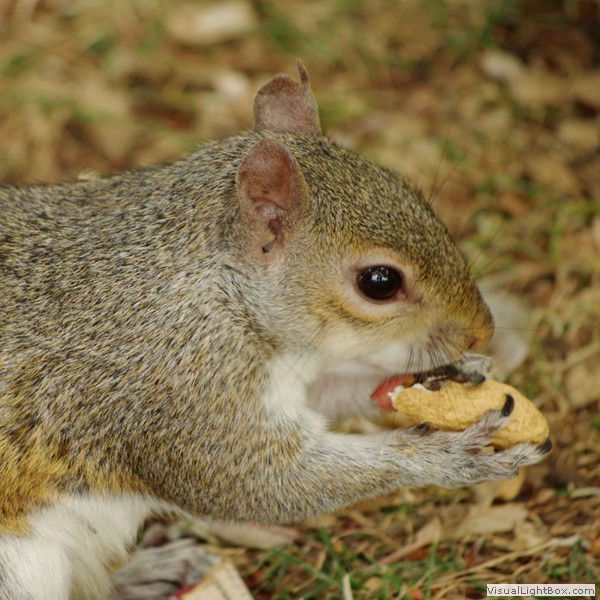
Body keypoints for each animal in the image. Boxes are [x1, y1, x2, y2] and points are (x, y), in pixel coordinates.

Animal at [0, 61, 550, 599]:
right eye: (380, 282)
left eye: (417, 197)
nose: (482, 332)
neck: (222, 292)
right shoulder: (181, 391)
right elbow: (258, 483)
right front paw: (443, 458)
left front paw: (445, 377)